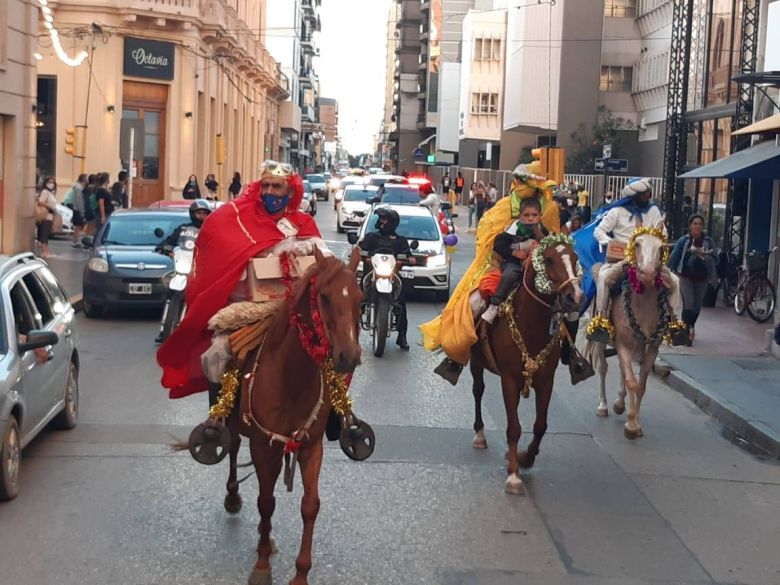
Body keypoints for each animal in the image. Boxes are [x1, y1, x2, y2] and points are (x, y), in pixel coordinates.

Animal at [222, 248, 362, 584]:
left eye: (361, 298)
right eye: (323, 296)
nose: (349, 356)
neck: (291, 378)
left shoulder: (312, 447)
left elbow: (310, 506)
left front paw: (301, 573)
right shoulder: (263, 446)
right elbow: (266, 502)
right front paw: (261, 565)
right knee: (232, 448)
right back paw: (233, 498)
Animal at [466, 236, 580, 492]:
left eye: (575, 258)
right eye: (548, 259)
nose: (575, 297)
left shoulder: (546, 380)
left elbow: (540, 425)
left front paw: (525, 458)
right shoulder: (509, 379)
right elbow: (514, 427)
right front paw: (514, 475)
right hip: (477, 362)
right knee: (478, 391)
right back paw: (479, 435)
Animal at [588, 218, 680, 438]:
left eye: (661, 247)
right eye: (636, 244)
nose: (648, 273)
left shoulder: (650, 349)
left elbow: (641, 384)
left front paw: (634, 420)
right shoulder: (624, 345)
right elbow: (631, 382)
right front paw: (630, 425)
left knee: (623, 370)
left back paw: (620, 404)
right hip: (601, 340)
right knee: (604, 368)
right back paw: (604, 406)